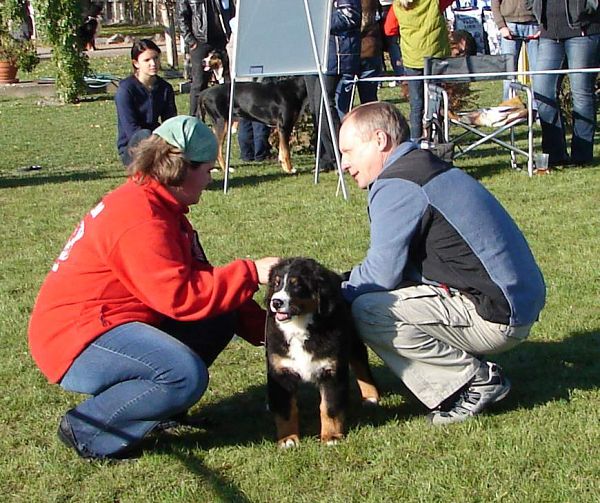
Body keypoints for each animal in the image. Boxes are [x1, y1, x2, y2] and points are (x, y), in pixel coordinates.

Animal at [264, 260, 378, 448]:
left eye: (297, 285)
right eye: (276, 283)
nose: (276, 302)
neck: (299, 328)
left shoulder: (331, 369)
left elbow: (328, 407)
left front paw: (330, 436)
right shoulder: (281, 372)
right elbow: (286, 410)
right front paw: (288, 439)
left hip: (351, 341)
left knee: (361, 363)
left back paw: (371, 397)